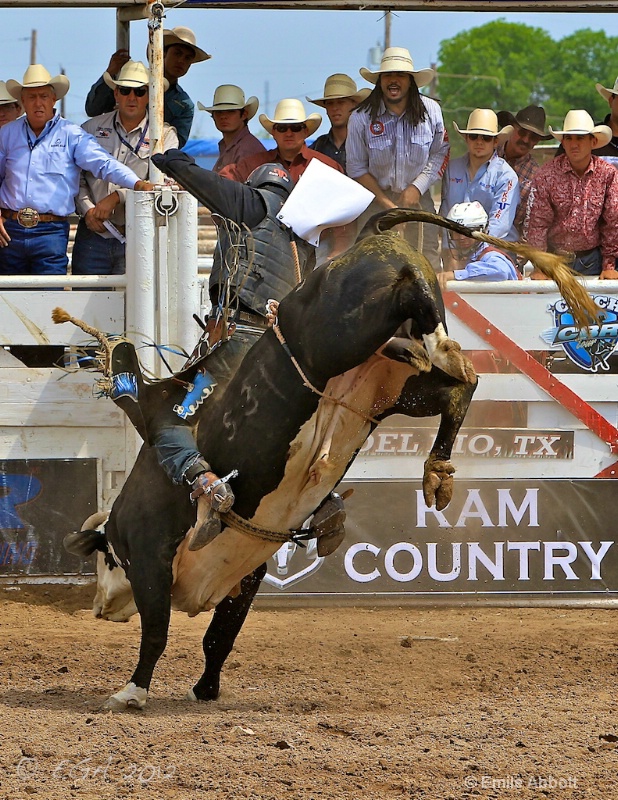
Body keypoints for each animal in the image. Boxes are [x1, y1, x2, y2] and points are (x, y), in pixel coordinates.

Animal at [56, 209, 592, 708]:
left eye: (105, 557)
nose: (99, 608)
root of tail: (372, 233)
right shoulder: (247, 572)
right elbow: (219, 638)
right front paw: (205, 689)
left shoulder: (150, 557)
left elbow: (157, 633)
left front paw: (131, 692)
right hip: (397, 389)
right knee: (459, 388)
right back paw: (436, 463)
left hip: (343, 334)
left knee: (431, 338)